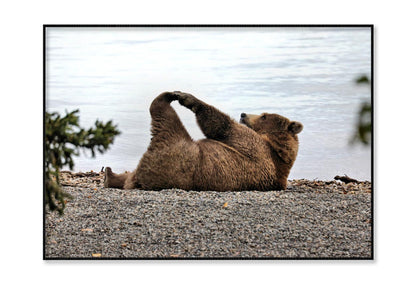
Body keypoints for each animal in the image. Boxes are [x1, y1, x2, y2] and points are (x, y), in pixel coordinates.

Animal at [102, 92, 300, 192]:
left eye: (264, 115)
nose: (243, 114)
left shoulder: (256, 147)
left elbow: (223, 126)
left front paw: (187, 98)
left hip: (175, 153)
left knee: (165, 118)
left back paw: (167, 96)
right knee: (128, 175)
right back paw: (110, 175)